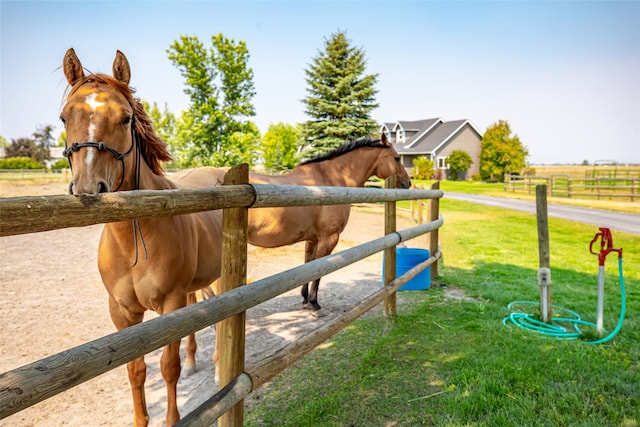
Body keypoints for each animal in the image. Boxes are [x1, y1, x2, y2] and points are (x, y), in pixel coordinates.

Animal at [60, 48, 224, 426]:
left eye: (125, 119)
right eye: (63, 118)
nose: (88, 188)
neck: (133, 239)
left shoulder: (170, 304)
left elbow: (167, 366)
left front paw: (173, 418)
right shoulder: (122, 312)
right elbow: (135, 370)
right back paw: (196, 361)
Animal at [188, 135, 412, 312]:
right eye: (396, 158)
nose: (408, 182)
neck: (330, 180)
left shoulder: (312, 239)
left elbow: (308, 265)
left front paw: (304, 298)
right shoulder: (329, 238)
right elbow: (319, 270)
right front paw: (313, 302)